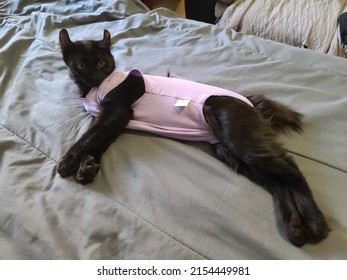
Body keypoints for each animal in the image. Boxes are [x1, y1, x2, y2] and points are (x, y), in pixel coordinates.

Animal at [59, 29, 328, 246]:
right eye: (81, 65)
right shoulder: (114, 123)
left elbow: (86, 139)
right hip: (230, 153)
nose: (95, 76)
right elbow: (97, 144)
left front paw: (67, 163)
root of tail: (249, 100)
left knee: (291, 169)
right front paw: (86, 168)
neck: (93, 89)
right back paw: (295, 229)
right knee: (278, 183)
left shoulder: (117, 114)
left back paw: (317, 223)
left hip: (239, 139)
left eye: (101, 62)